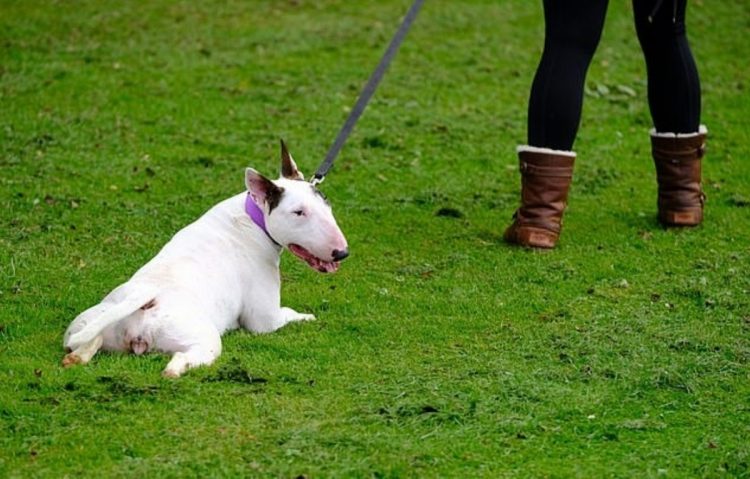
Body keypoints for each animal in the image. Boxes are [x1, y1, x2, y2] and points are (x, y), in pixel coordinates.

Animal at [61, 142, 350, 378]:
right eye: (298, 212)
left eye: (327, 204)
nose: (342, 252)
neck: (252, 218)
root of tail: (144, 298)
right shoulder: (265, 320)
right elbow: (285, 314)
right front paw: (306, 316)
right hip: (199, 335)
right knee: (182, 359)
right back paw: (175, 370)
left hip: (86, 323)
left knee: (90, 340)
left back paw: (76, 358)